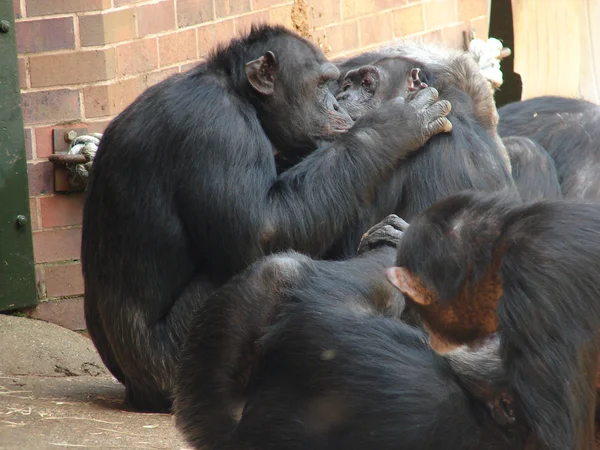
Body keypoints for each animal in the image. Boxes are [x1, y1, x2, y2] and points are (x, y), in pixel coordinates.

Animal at [82, 23, 452, 412]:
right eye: (322, 84)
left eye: (333, 84)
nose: (338, 103)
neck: (238, 93)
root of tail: (136, 393)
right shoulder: (220, 129)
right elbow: (264, 229)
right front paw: (394, 126)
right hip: (177, 363)